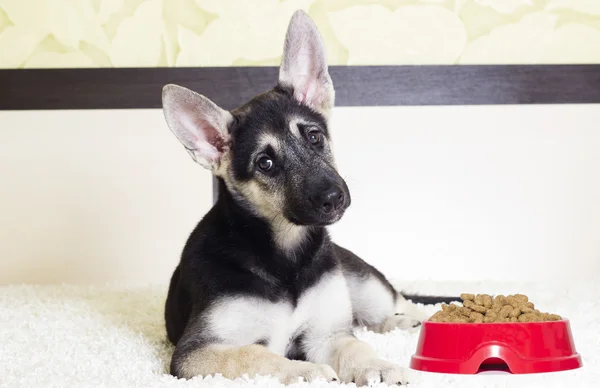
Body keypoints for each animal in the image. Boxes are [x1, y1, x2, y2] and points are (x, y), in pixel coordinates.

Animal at [162, 10, 458, 386]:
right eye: (265, 163)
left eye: (314, 137)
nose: (334, 198)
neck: (285, 255)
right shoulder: (195, 354)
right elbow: (254, 355)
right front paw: (307, 371)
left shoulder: (327, 334)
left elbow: (355, 347)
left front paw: (380, 366)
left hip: (364, 285)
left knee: (397, 308)